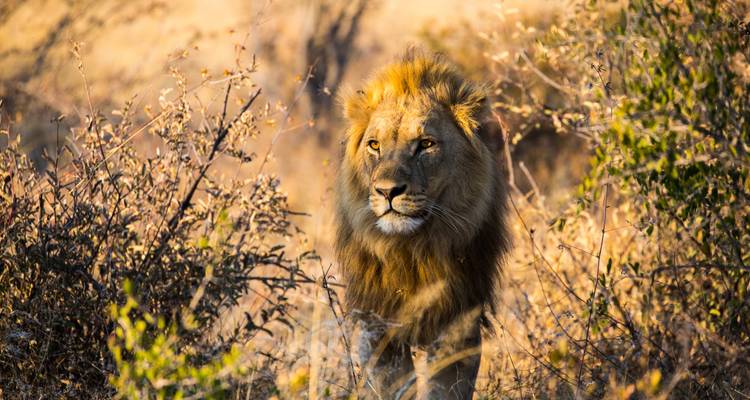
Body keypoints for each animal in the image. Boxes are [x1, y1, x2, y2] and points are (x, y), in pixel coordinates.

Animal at [335, 52, 510, 399]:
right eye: (374, 145)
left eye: (426, 144)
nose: (387, 191)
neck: (411, 250)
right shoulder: (378, 326)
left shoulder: (458, 323)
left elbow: (446, 388)